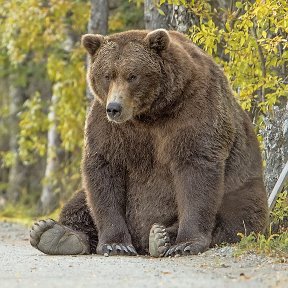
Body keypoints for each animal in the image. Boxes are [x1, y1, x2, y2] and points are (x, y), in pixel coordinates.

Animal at [29, 28, 268, 256]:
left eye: (132, 75)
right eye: (107, 75)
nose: (114, 108)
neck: (151, 113)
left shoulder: (196, 109)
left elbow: (196, 169)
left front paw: (186, 243)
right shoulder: (110, 127)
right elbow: (104, 169)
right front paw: (116, 244)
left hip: (243, 185)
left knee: (239, 214)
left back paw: (161, 236)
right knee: (80, 201)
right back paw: (54, 234)